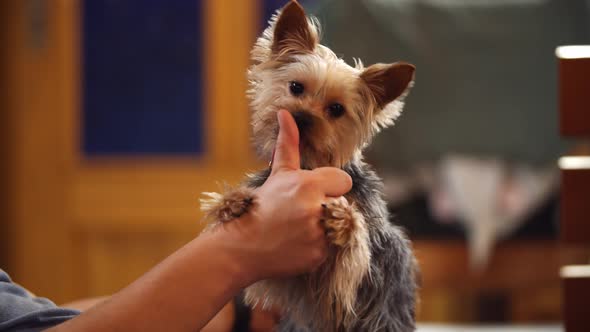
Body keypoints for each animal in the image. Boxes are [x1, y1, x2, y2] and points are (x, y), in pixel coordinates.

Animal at [201, 1, 418, 330]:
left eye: (337, 109)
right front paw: (231, 201)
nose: (301, 117)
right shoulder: (285, 277)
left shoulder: (348, 283)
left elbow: (349, 264)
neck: (308, 166)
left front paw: (344, 220)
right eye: (295, 87)